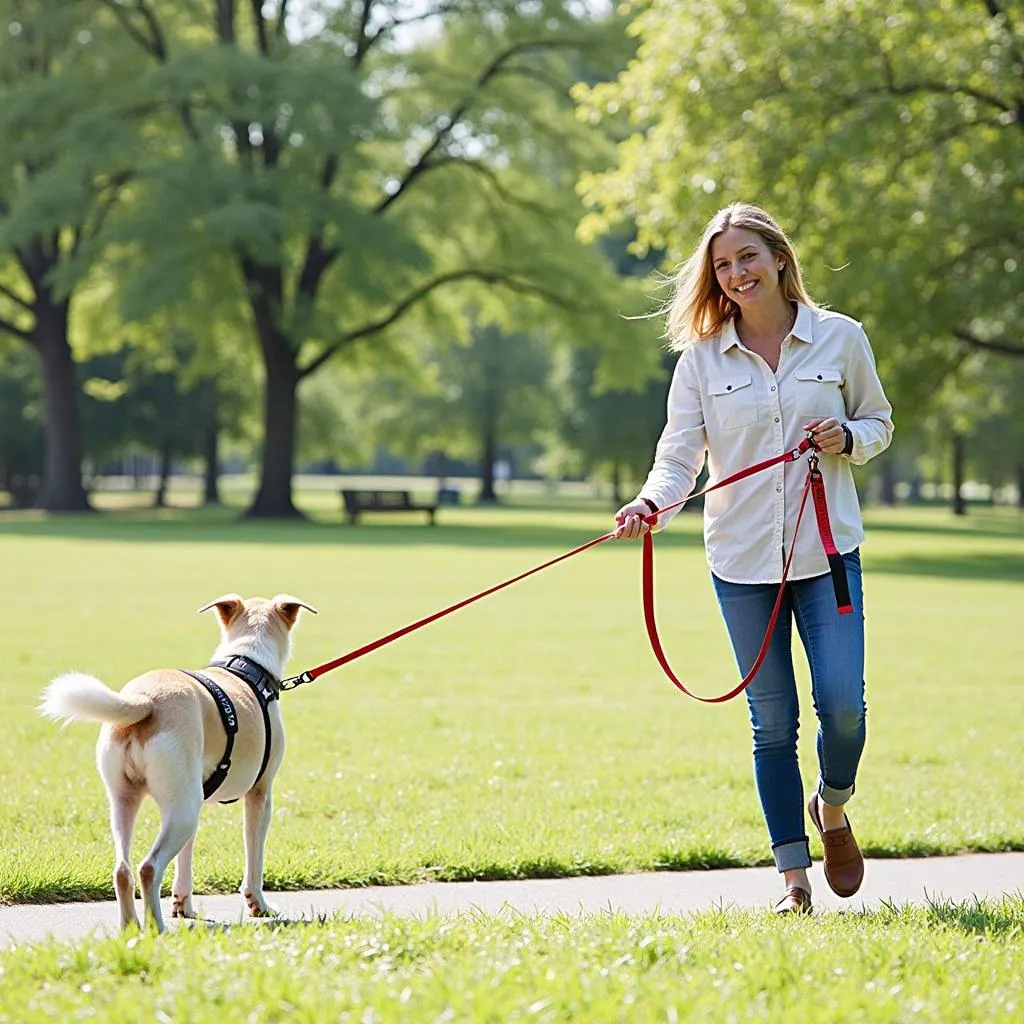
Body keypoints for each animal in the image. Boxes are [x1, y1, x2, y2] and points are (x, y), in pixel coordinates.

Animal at [37, 593, 315, 937]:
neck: (246, 662)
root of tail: (146, 700)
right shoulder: (260, 795)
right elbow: (254, 854)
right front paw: (258, 905)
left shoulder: (197, 796)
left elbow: (186, 856)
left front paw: (183, 905)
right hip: (184, 810)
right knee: (148, 867)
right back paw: (156, 927)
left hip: (136, 801)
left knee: (123, 869)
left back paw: (130, 927)